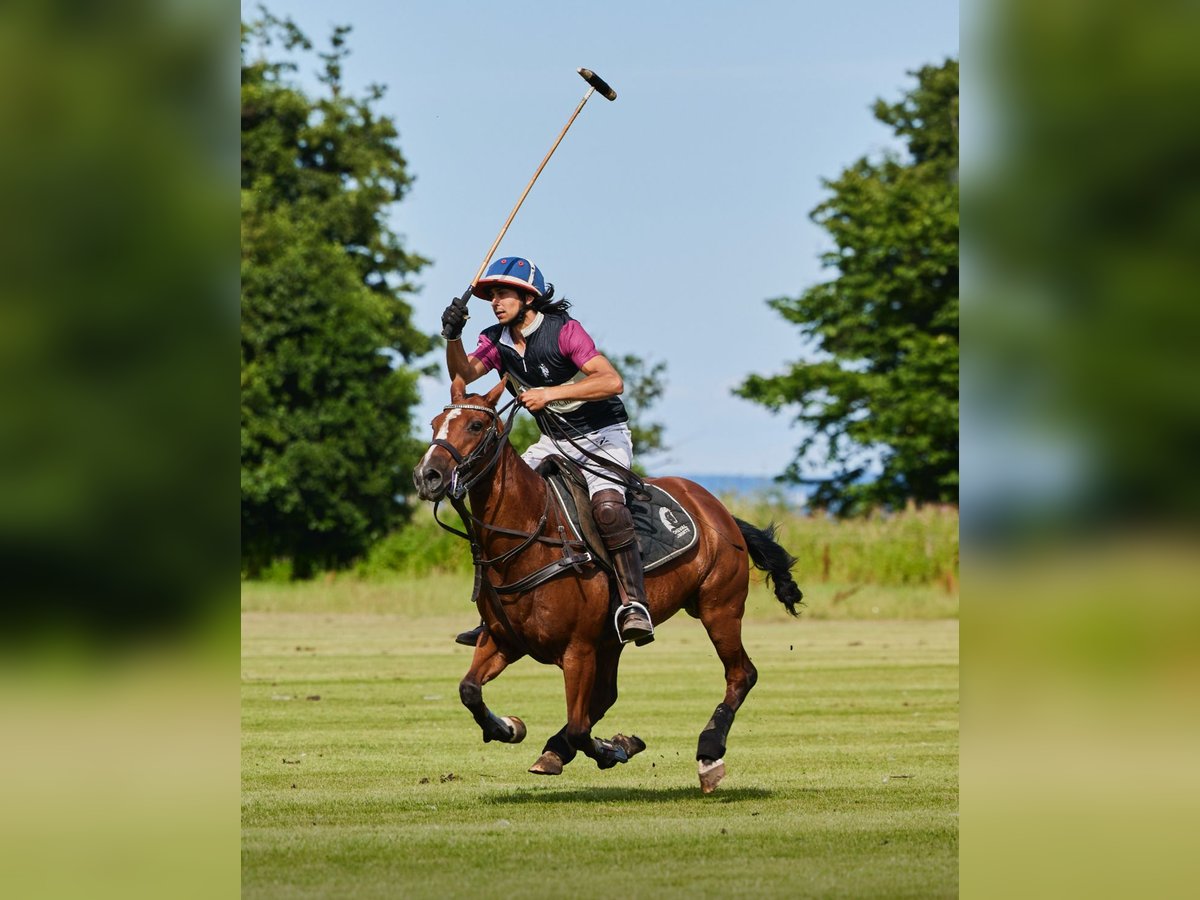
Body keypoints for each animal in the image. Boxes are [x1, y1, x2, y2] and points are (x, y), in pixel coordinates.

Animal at [412, 376, 806, 792]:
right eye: (434, 423)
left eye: (475, 426)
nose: (427, 476)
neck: (528, 538)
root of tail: (719, 509)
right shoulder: (503, 639)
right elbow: (470, 690)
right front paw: (510, 727)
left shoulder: (578, 649)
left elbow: (580, 727)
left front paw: (614, 748)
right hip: (613, 639)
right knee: (606, 695)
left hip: (720, 607)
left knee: (741, 674)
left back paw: (709, 755)